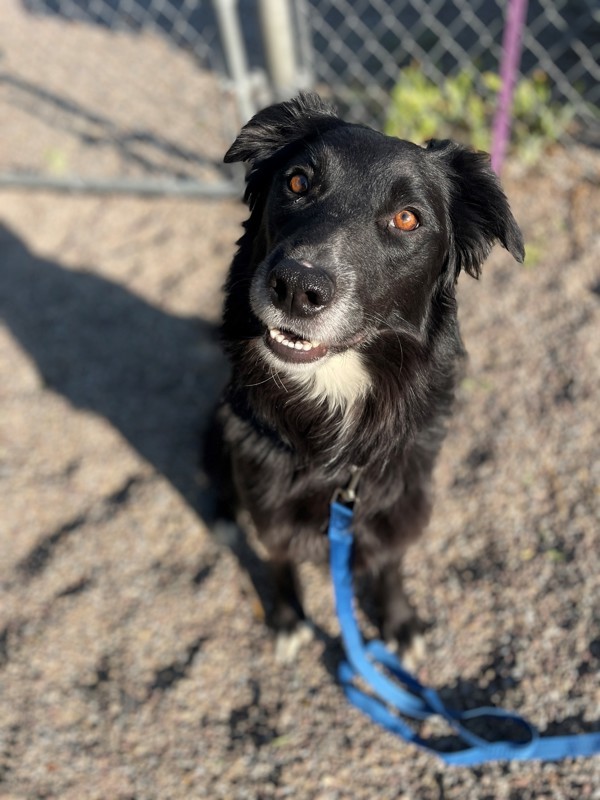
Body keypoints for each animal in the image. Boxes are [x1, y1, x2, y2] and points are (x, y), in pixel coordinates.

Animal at [213, 90, 524, 660]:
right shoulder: (266, 491)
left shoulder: (402, 496)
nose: (297, 288)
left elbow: (390, 560)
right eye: (297, 182)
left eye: (406, 218)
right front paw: (287, 617)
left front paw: (398, 621)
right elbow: (278, 557)